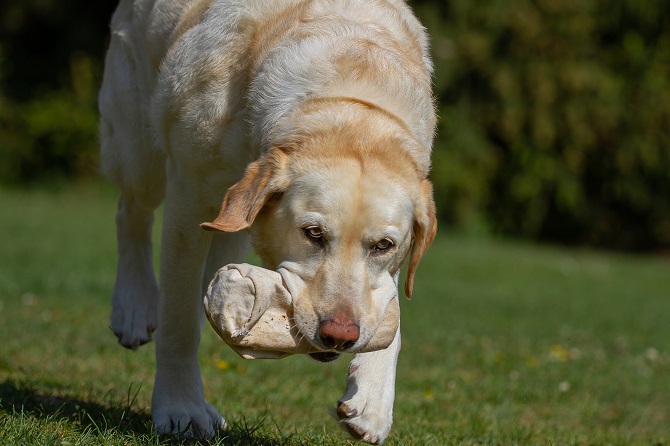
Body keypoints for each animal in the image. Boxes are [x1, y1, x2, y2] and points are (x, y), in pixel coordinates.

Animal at [98, 0, 436, 442]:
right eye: (313, 234)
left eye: (384, 246)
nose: (339, 335)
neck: (353, 97)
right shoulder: (188, 200)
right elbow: (179, 318)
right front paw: (180, 408)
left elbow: (389, 314)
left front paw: (373, 402)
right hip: (140, 150)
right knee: (131, 212)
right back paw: (134, 309)